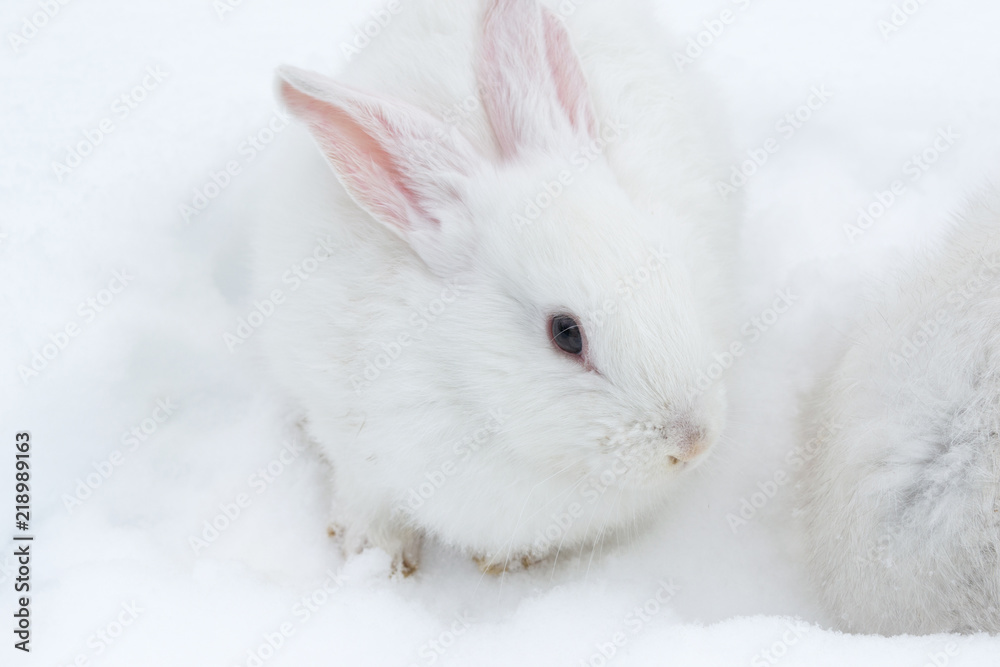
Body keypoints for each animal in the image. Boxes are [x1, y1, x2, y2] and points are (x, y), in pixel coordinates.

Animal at [250, 0, 736, 576]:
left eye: (663, 264)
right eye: (565, 333)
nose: (693, 443)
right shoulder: (348, 435)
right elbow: (367, 498)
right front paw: (375, 559)